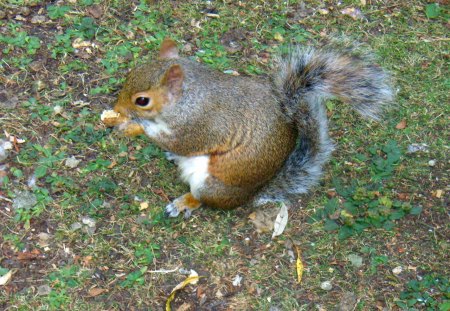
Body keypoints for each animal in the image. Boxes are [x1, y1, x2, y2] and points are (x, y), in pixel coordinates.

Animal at [106, 38, 394, 217]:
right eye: (130, 73)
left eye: (142, 100)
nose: (117, 108)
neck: (189, 97)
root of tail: (253, 194)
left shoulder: (200, 126)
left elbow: (178, 140)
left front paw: (132, 127)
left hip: (211, 185)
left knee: (204, 198)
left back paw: (184, 202)